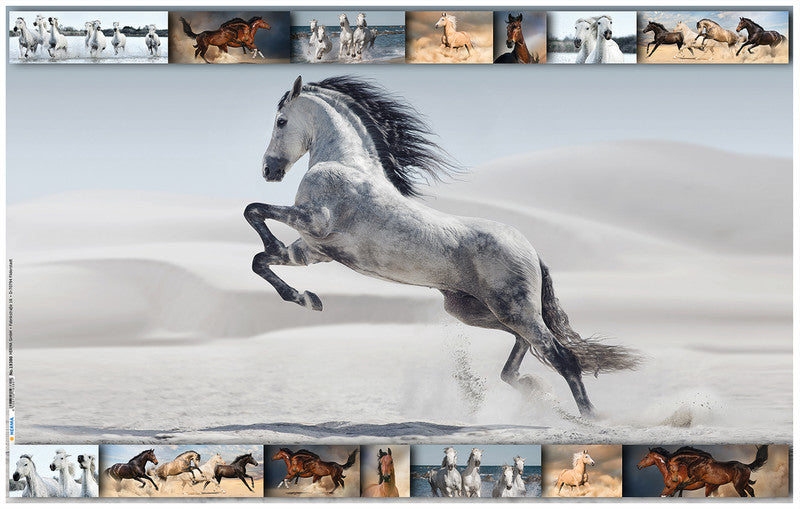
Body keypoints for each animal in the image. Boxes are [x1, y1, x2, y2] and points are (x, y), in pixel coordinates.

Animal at [245, 76, 639, 418]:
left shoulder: (315, 221)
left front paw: (289, 269)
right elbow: (260, 260)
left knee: (561, 356)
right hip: (477, 311)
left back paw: (589, 417)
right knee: (524, 348)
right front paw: (307, 298)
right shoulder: (312, 251)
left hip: (513, 309)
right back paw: (532, 388)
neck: (345, 164)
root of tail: (531, 250)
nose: (268, 170)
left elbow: (254, 211)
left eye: (281, 121)